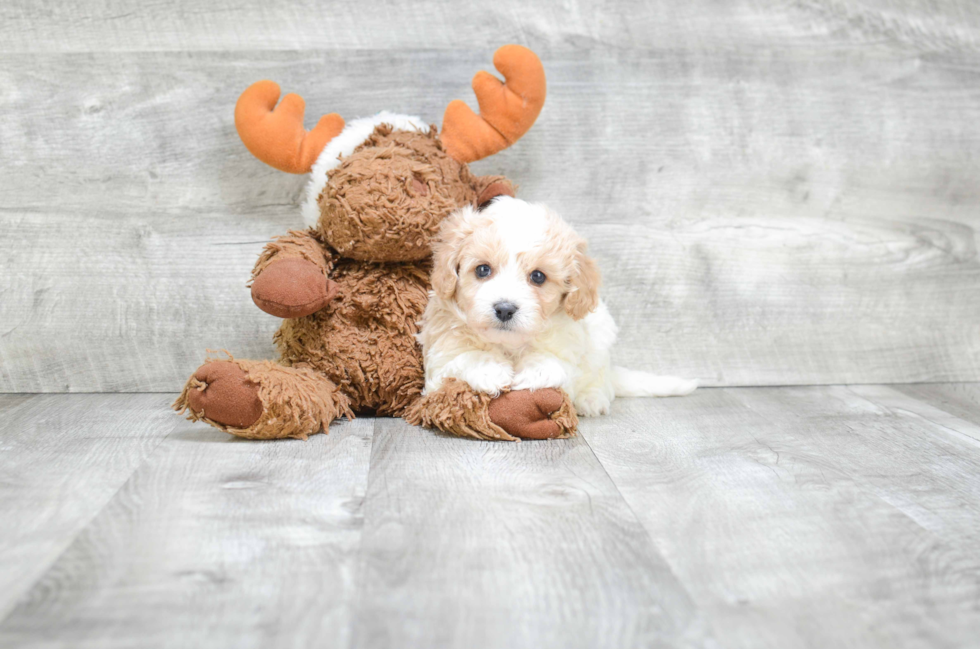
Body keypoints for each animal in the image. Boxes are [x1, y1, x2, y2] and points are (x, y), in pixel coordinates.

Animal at [420, 195, 696, 416]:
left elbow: (557, 364)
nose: (505, 309)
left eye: (538, 276)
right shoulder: (438, 362)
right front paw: (489, 369)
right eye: (482, 270)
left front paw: (535, 370)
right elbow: (463, 357)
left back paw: (592, 399)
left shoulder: (570, 349)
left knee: (601, 378)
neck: (509, 345)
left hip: (601, 335)